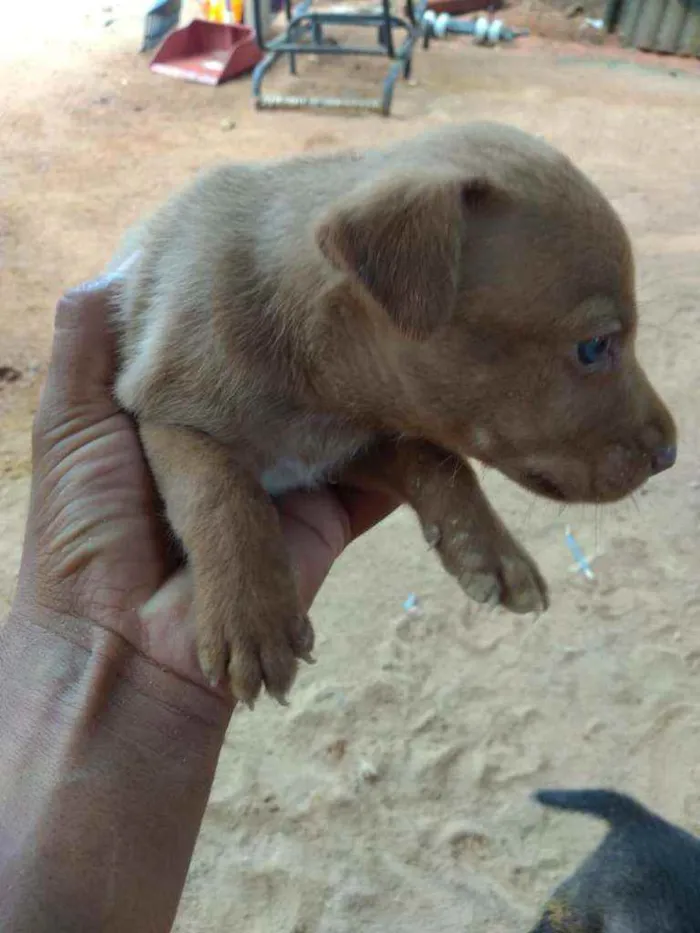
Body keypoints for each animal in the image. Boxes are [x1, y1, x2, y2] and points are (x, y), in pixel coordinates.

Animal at [112, 125, 676, 708]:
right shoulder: (164, 410)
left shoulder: (354, 447)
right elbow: (224, 496)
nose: (670, 454)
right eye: (595, 347)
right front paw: (251, 622)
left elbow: (440, 463)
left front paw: (490, 552)